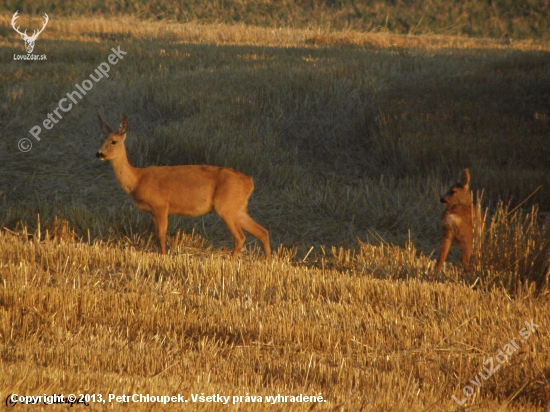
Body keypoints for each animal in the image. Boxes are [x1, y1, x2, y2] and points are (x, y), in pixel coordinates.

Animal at [98, 113, 274, 260]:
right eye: (101, 140)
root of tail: (249, 181)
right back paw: (267, 261)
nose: (99, 154)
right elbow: (157, 235)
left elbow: (161, 235)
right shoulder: (153, 212)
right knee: (262, 231)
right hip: (238, 208)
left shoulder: (161, 206)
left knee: (240, 237)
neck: (137, 180)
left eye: (113, 141)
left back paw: (231, 262)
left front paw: (163, 257)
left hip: (226, 206)